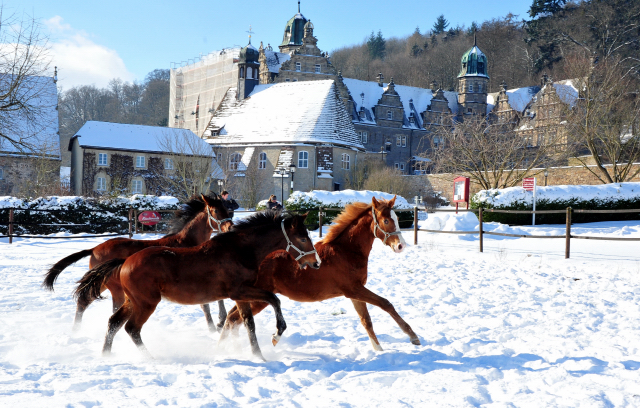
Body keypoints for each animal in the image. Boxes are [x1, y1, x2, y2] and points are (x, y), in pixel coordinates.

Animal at [42, 194, 234, 332]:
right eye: (216, 211)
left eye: (228, 210)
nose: (230, 227)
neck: (187, 242)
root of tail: (94, 248)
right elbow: (207, 304)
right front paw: (216, 325)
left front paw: (218, 322)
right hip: (114, 287)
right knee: (105, 308)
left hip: (103, 283)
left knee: (84, 301)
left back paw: (76, 330)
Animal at [76, 202, 320, 360]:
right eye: (302, 238)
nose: (316, 263)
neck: (241, 251)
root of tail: (125, 261)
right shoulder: (240, 291)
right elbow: (273, 299)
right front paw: (277, 333)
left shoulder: (241, 296)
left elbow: (247, 322)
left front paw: (258, 356)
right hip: (146, 303)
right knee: (131, 328)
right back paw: (150, 358)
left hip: (132, 300)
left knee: (114, 322)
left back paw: (106, 355)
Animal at [218, 196, 422, 350]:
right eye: (386, 220)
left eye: (396, 219)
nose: (401, 246)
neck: (346, 251)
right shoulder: (353, 289)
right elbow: (386, 304)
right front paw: (413, 336)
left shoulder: (355, 293)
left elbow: (366, 320)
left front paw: (378, 350)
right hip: (258, 298)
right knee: (234, 318)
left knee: (232, 318)